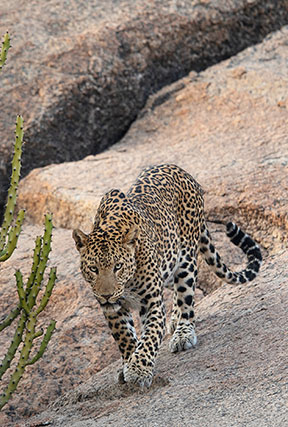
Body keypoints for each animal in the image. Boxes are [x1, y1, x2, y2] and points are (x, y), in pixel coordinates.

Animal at [73, 163, 262, 388]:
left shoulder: (151, 302)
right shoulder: (112, 310)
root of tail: (182, 171)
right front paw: (129, 363)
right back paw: (175, 319)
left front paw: (139, 369)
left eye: (118, 266)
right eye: (93, 269)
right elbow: (125, 337)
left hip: (185, 262)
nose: (107, 295)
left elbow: (150, 336)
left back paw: (183, 333)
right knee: (177, 293)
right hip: (169, 268)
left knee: (187, 297)